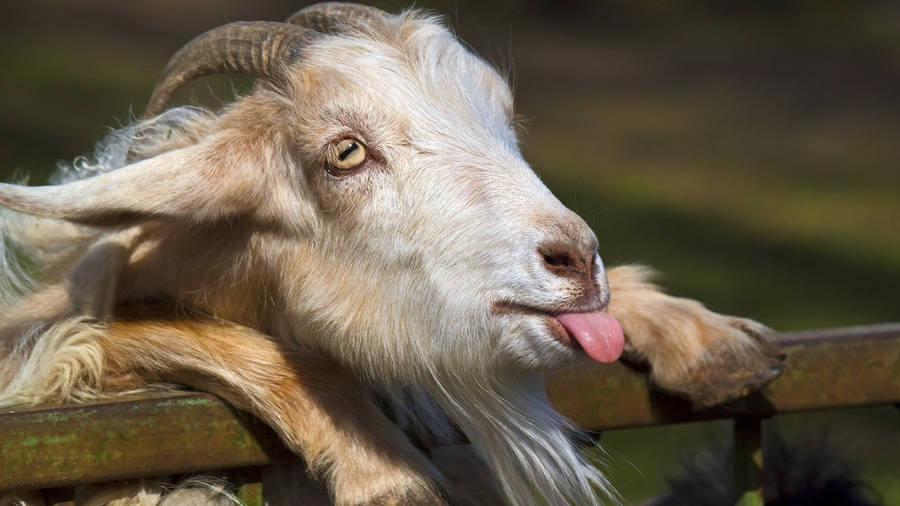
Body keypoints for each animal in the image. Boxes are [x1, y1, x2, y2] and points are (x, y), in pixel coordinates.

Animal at [0, 3, 785, 505]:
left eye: (504, 123)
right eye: (346, 152)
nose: (576, 258)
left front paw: (713, 342)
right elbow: (120, 333)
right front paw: (384, 471)